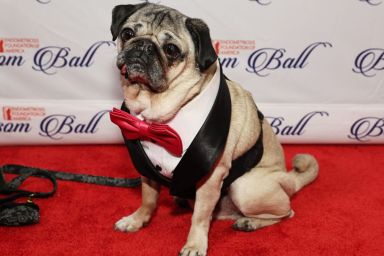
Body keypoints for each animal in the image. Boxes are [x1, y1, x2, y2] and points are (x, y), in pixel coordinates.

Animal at [108, 2, 318, 256]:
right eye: (127, 34)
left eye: (171, 50)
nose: (143, 45)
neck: (156, 113)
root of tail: (289, 180)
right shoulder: (146, 170)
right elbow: (148, 199)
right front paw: (137, 220)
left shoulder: (211, 177)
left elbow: (199, 217)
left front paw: (195, 245)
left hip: (243, 187)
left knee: (286, 212)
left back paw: (249, 222)